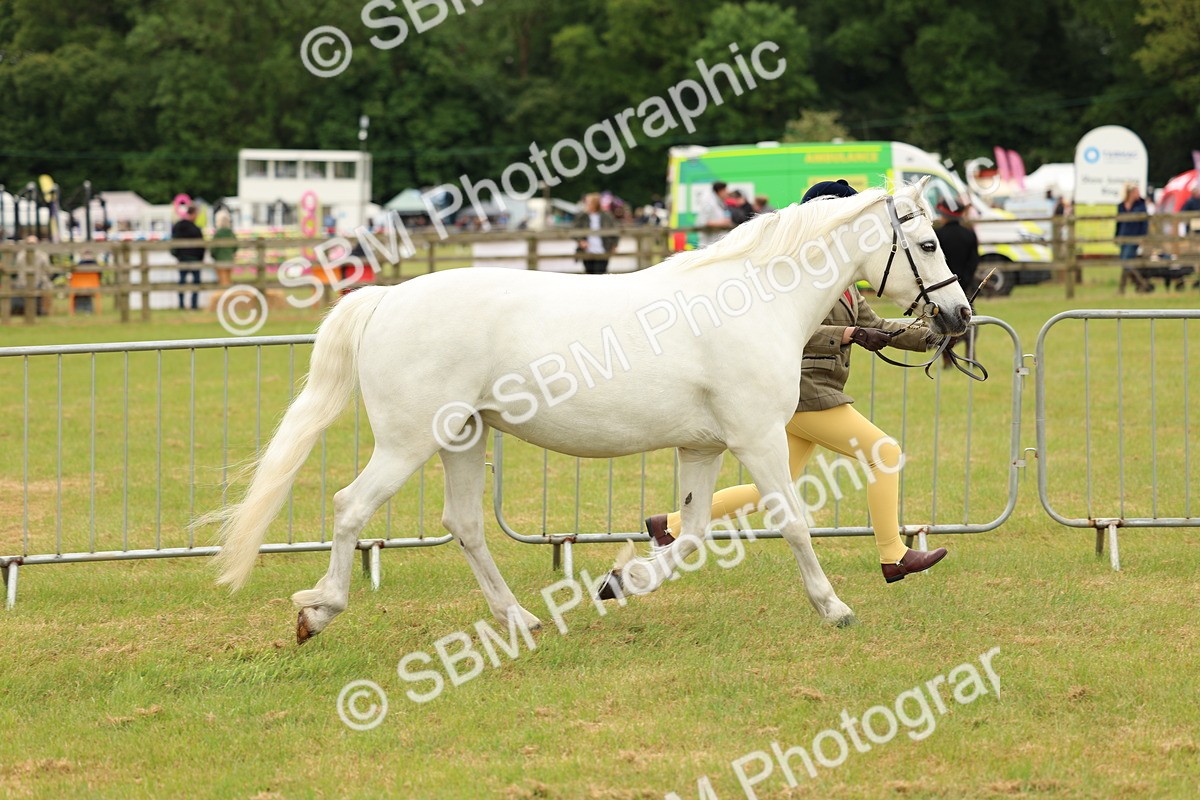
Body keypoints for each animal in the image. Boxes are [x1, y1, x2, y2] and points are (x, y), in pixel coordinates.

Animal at [206, 178, 970, 643]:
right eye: (929, 243)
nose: (958, 316)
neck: (752, 302)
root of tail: (388, 298)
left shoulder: (703, 447)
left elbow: (690, 534)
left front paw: (619, 581)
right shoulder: (757, 439)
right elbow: (794, 523)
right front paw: (835, 607)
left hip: (462, 437)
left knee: (464, 524)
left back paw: (519, 618)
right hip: (407, 441)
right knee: (350, 508)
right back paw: (318, 612)